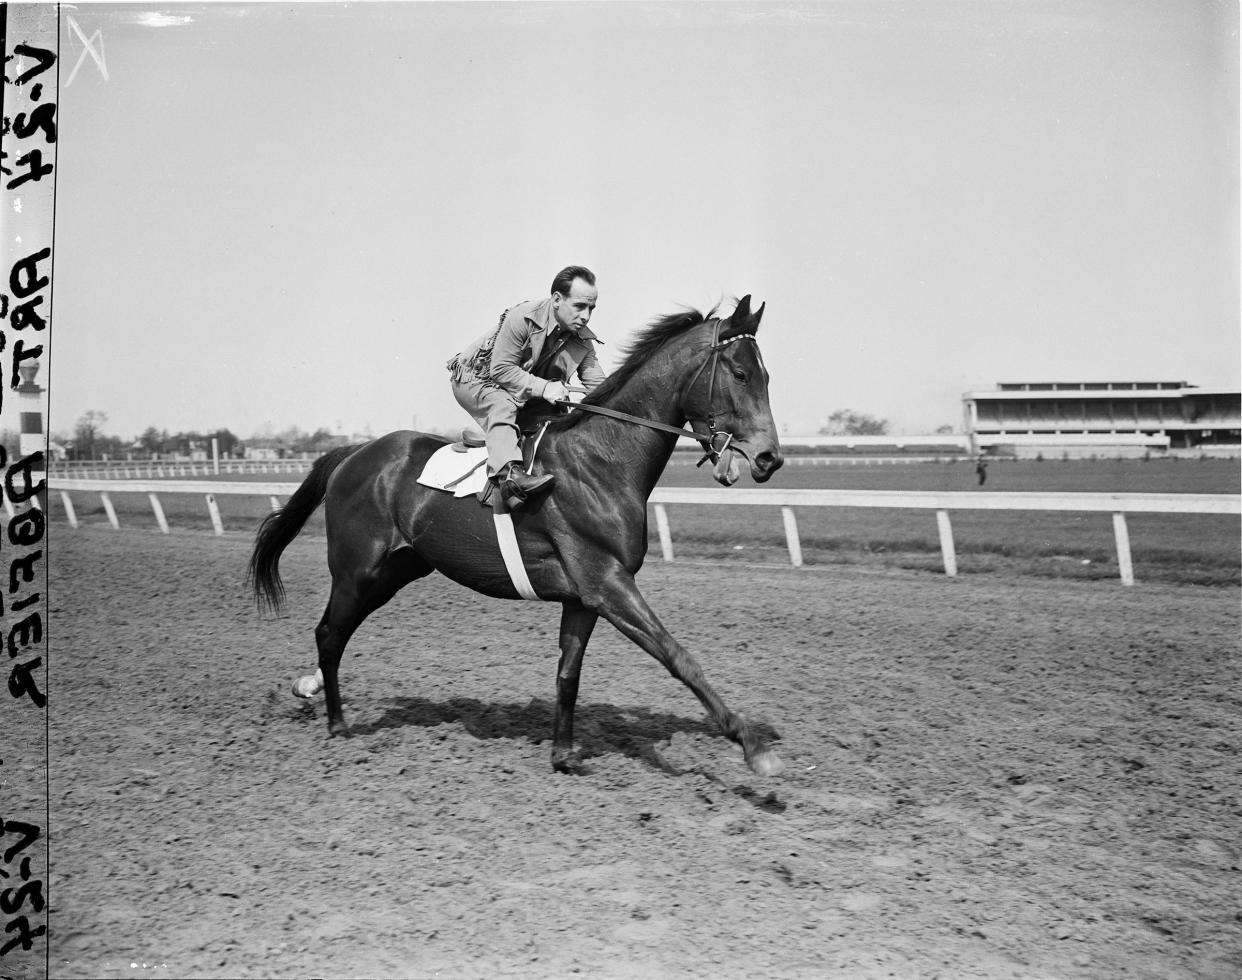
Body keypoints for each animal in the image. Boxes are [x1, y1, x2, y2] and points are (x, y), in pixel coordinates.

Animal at [249, 294, 784, 775]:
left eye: (766, 376)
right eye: (740, 374)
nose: (769, 458)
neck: (602, 461)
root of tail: (353, 453)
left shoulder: (584, 596)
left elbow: (568, 674)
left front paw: (563, 754)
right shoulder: (608, 582)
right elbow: (677, 655)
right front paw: (753, 747)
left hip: (397, 570)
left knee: (337, 632)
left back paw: (312, 691)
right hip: (357, 568)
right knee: (329, 633)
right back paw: (336, 724)